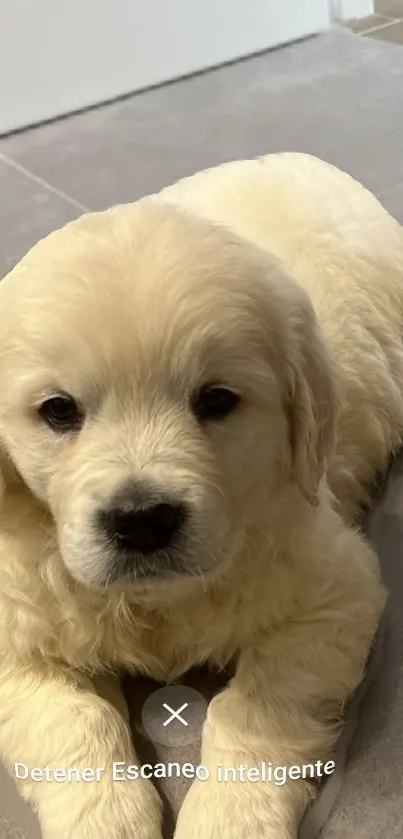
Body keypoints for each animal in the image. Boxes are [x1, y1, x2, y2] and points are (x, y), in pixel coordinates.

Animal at [0, 153, 402, 839]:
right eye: (58, 410)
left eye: (217, 400)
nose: (141, 521)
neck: (157, 601)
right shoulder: (13, 628)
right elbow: (74, 725)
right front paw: (107, 820)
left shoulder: (336, 592)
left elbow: (257, 711)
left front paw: (229, 818)